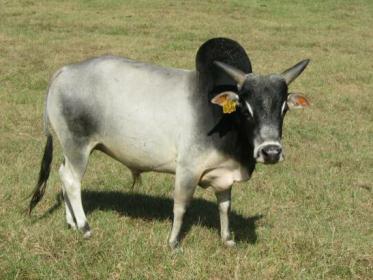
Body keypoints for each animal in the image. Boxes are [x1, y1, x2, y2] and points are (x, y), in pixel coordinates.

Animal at [29, 36, 310, 247]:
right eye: (245, 108)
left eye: (283, 108)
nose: (271, 152)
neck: (219, 116)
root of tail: (65, 71)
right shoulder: (188, 170)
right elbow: (181, 206)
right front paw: (173, 242)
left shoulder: (224, 174)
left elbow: (224, 207)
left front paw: (227, 239)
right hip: (78, 147)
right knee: (71, 181)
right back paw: (85, 227)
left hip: (69, 148)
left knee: (62, 174)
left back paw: (71, 222)